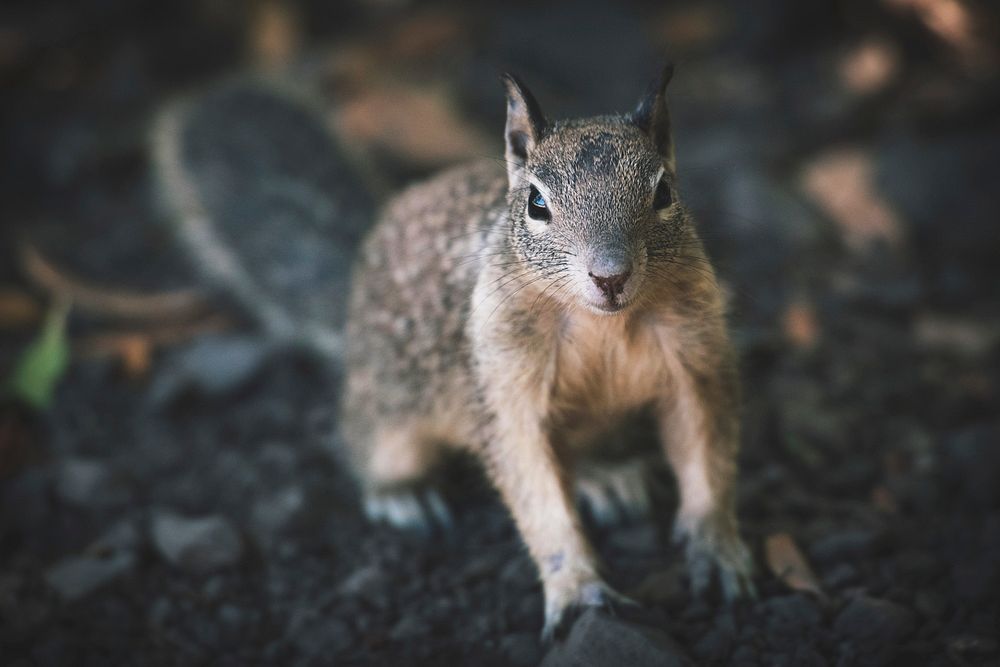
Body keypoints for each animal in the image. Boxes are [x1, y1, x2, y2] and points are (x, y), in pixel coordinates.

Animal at [152, 64, 752, 640]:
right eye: (536, 203)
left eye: (664, 192)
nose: (610, 276)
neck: (604, 325)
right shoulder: (502, 385)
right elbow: (534, 488)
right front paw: (578, 589)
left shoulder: (695, 358)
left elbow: (703, 449)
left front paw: (718, 549)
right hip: (388, 406)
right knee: (367, 443)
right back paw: (402, 493)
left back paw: (606, 474)